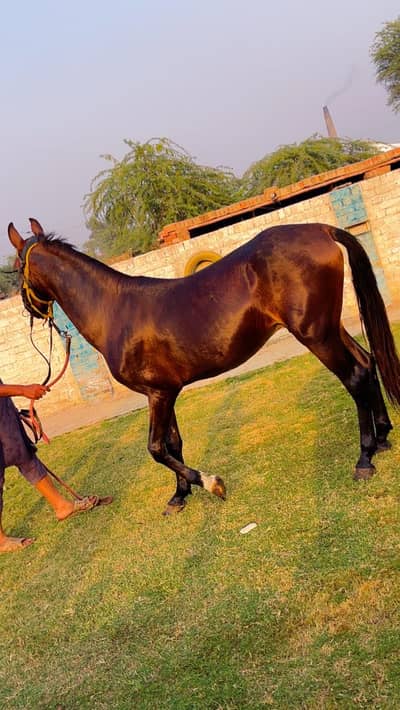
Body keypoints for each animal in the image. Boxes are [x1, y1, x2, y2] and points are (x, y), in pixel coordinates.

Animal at [8, 219, 400, 515]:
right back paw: (382, 438)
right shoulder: (163, 392)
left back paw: (364, 458)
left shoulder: (159, 394)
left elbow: (156, 449)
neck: (115, 310)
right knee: (367, 362)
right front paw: (179, 496)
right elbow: (173, 443)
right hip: (330, 328)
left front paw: (212, 484)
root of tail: (319, 228)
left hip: (316, 335)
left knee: (355, 377)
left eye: (15, 269)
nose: (28, 309)